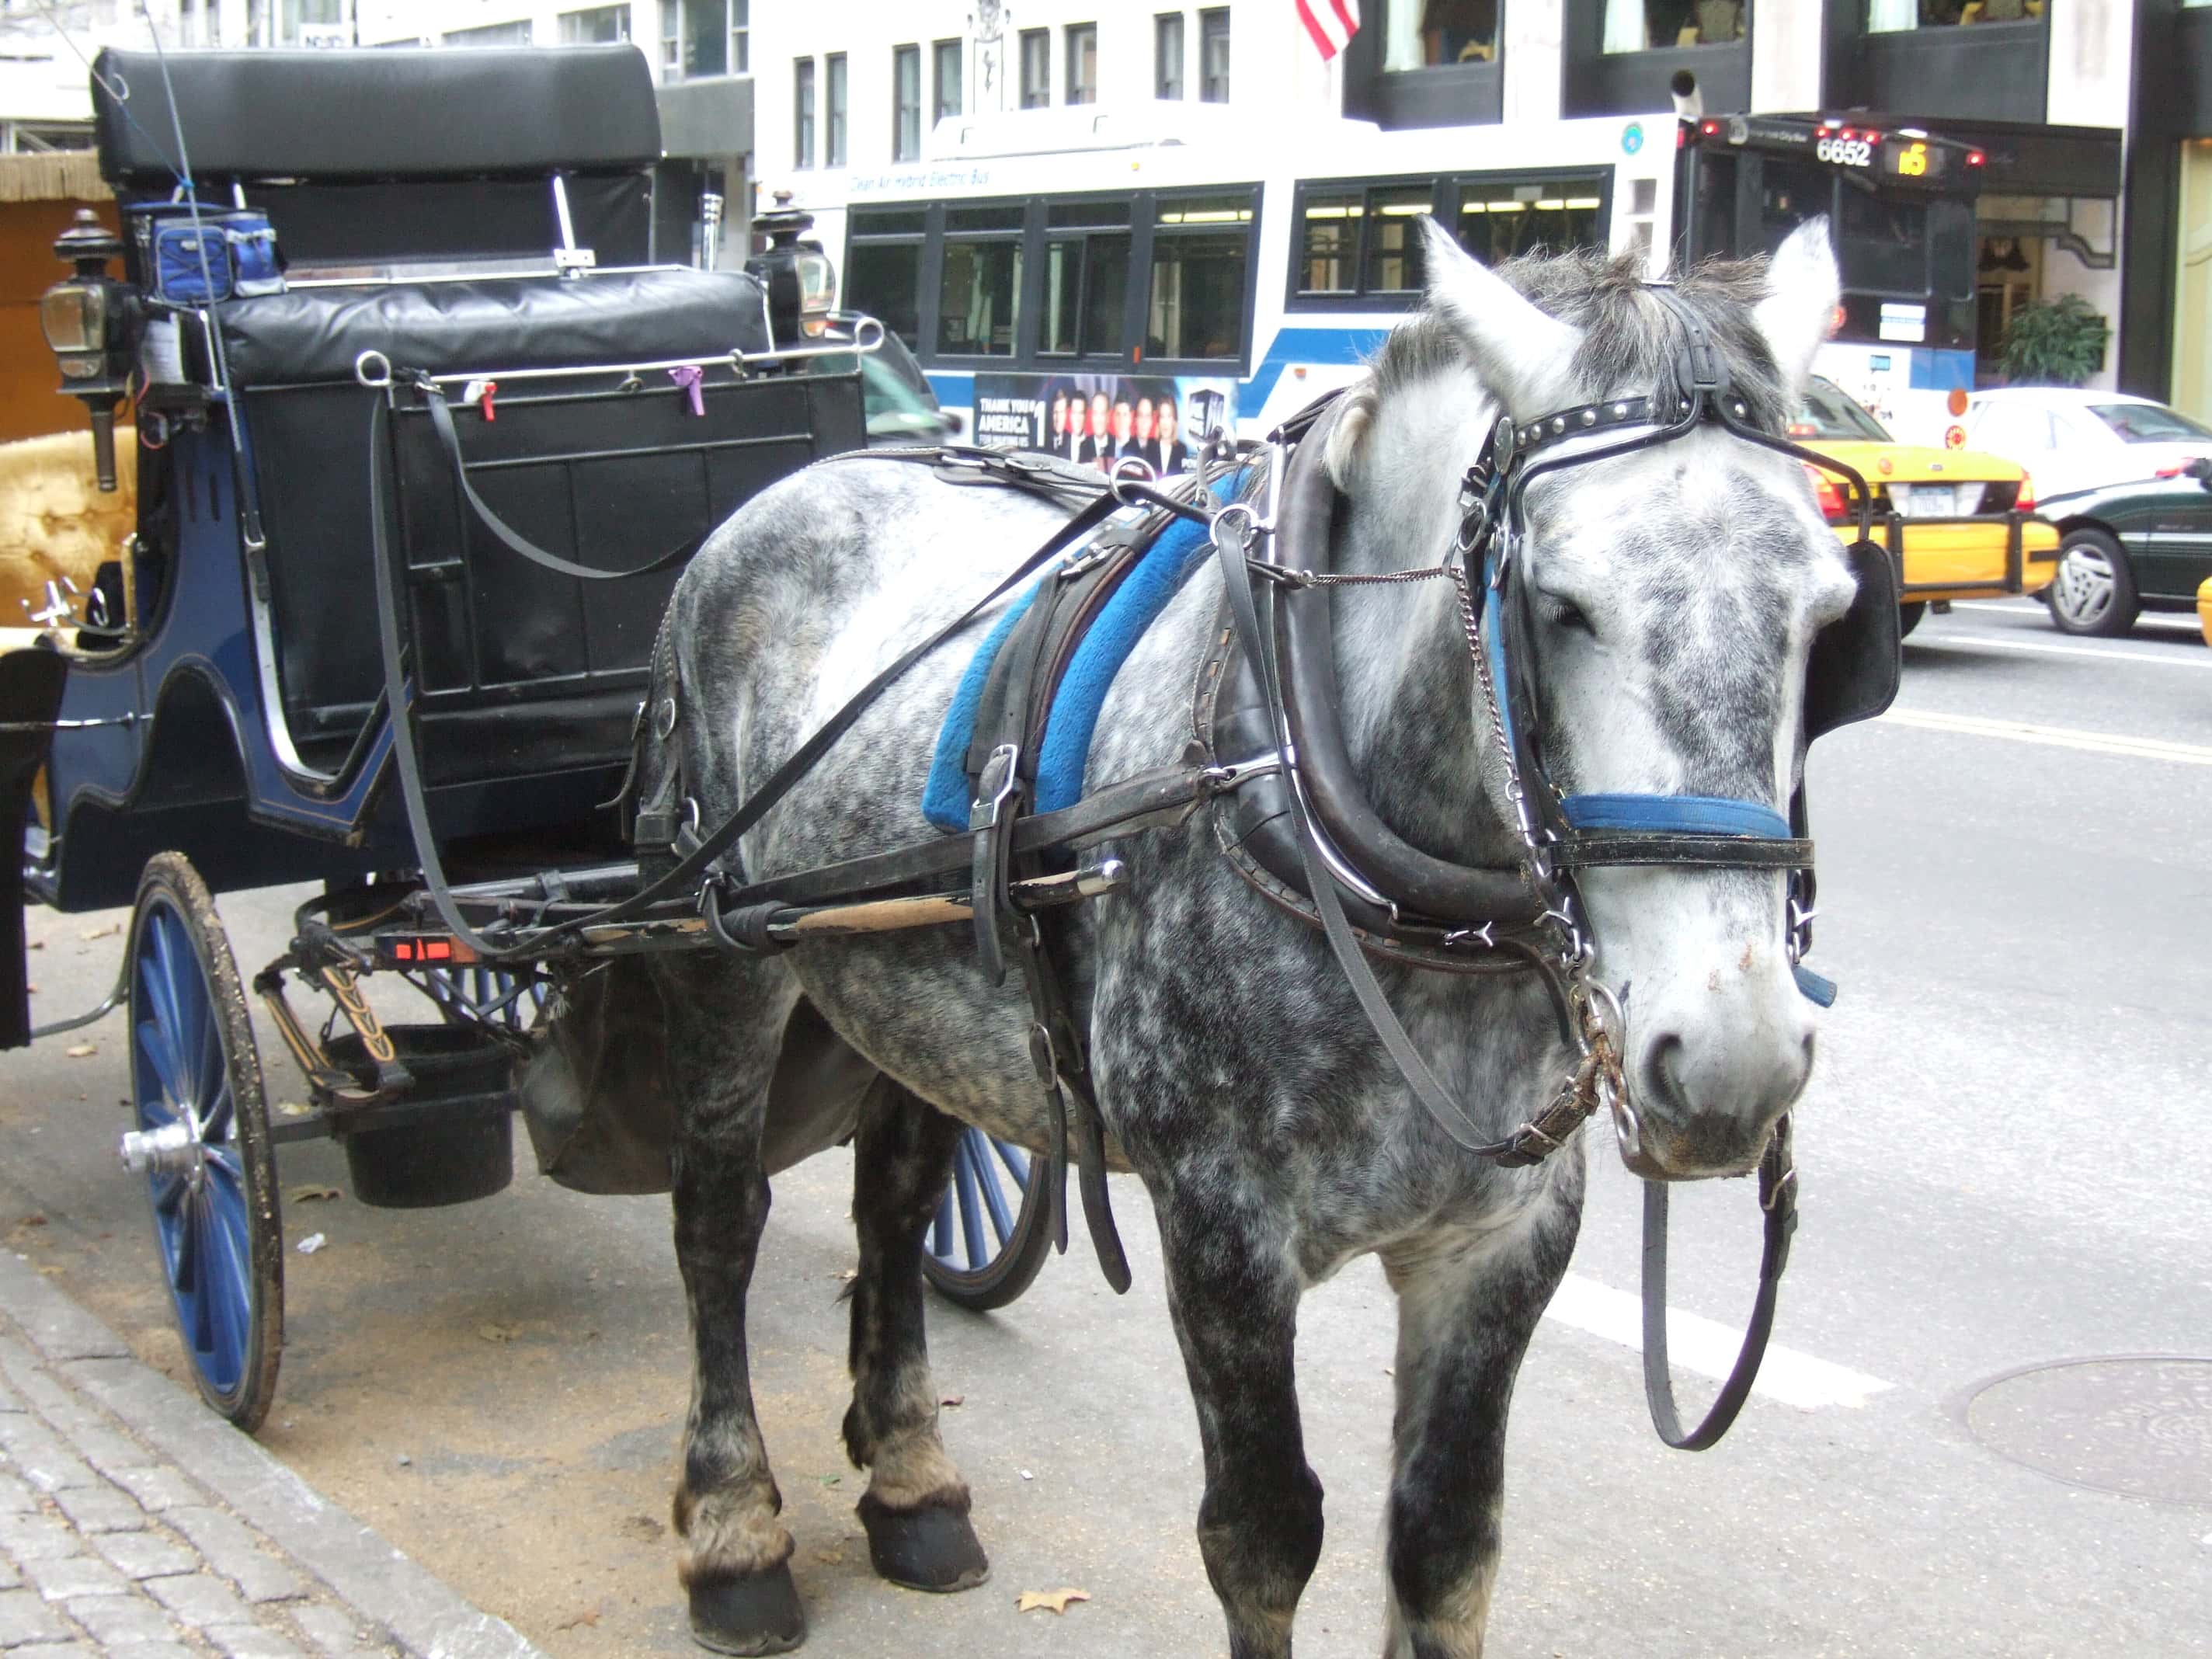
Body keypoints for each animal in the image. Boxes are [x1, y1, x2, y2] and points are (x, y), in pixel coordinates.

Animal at [634, 215, 1854, 1657]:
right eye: (1557, 605)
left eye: (1832, 615)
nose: (1731, 1061)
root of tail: (807, 479)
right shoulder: (1219, 1234)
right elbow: (1263, 1538)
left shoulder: (1500, 1245)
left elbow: (1446, 1546)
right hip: (718, 949)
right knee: (719, 1216)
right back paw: (732, 1528)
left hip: (920, 989)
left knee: (892, 1201)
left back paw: (910, 1481)